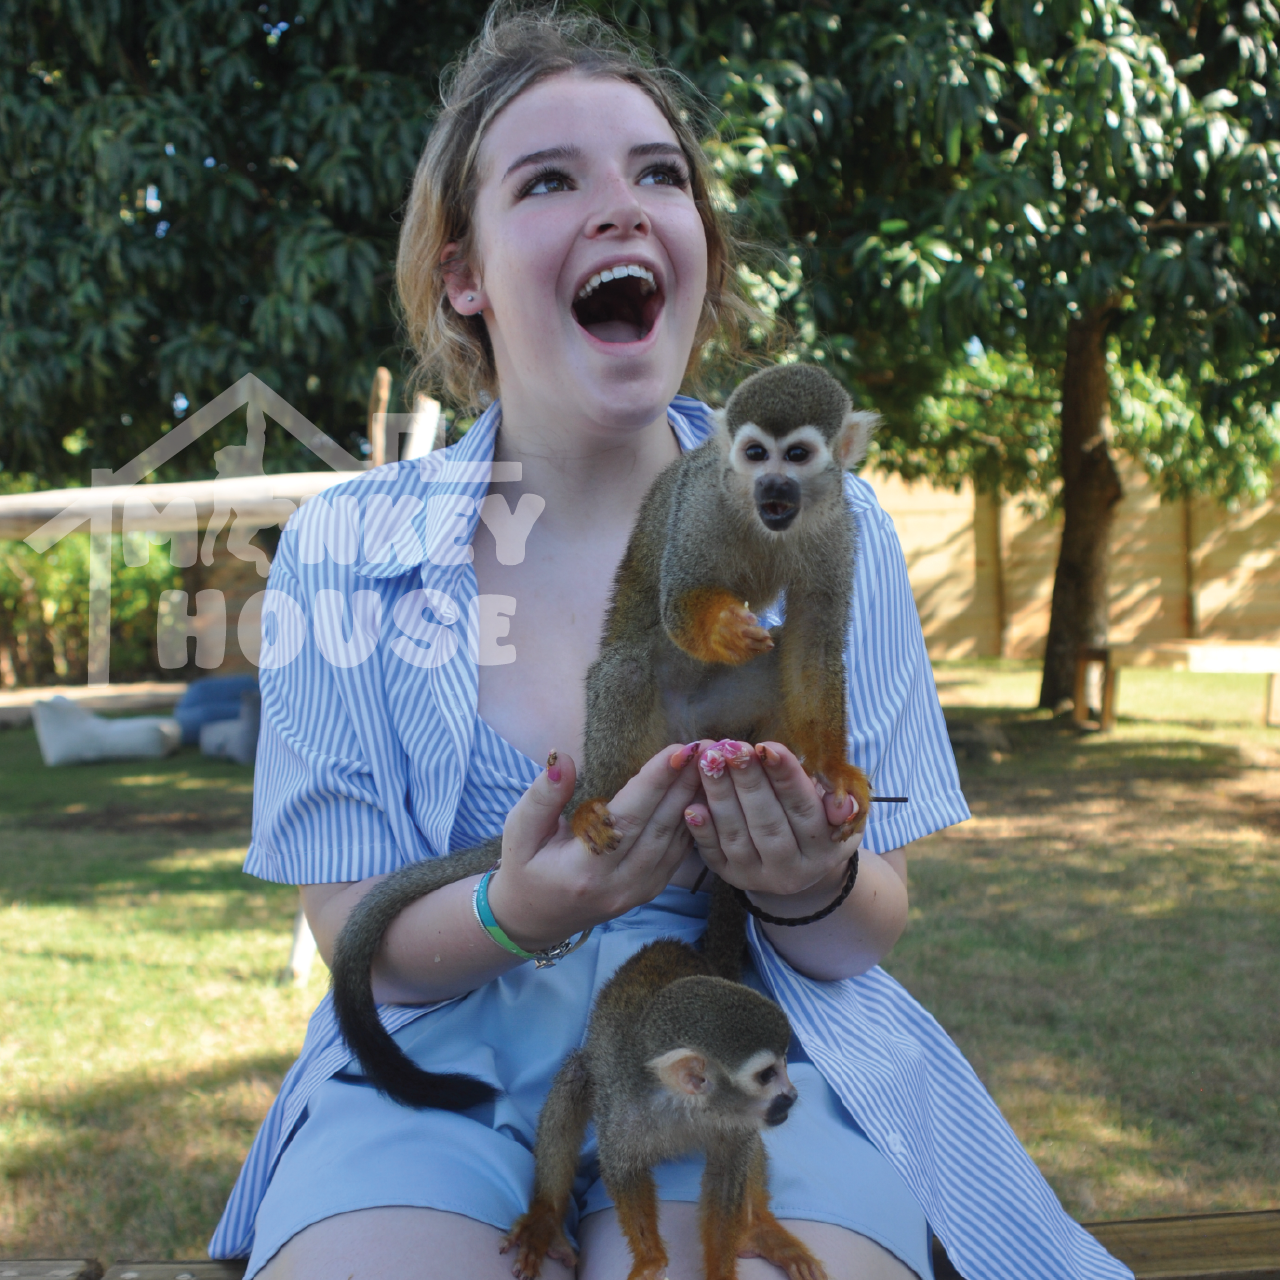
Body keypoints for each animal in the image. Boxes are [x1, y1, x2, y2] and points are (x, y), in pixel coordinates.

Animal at [331, 362, 879, 1112]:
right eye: (754, 455)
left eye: (796, 456)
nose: (772, 488)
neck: (764, 521)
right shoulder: (701, 506)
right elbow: (678, 604)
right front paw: (721, 627)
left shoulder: (837, 531)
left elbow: (812, 648)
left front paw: (833, 770)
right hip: (643, 733)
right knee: (628, 667)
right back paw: (591, 802)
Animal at [500, 893, 827, 1280]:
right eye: (766, 1075)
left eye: (785, 1064)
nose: (790, 1096)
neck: (685, 1106)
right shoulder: (624, 1111)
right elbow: (622, 1169)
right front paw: (650, 1259)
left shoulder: (736, 1118)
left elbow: (727, 1176)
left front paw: (719, 1268)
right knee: (577, 1075)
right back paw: (547, 1215)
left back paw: (759, 1225)